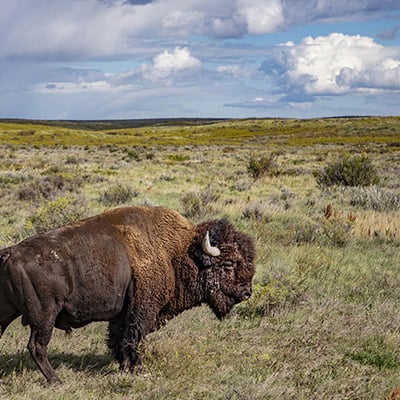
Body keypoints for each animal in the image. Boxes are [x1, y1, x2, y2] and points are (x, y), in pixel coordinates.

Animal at [0, 206, 256, 384]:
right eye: (229, 264)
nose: (246, 293)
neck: (177, 253)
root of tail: (10, 253)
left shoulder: (122, 313)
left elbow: (118, 338)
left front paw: (123, 367)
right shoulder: (141, 311)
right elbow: (133, 338)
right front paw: (138, 369)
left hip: (9, 313)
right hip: (44, 317)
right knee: (37, 346)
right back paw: (56, 381)